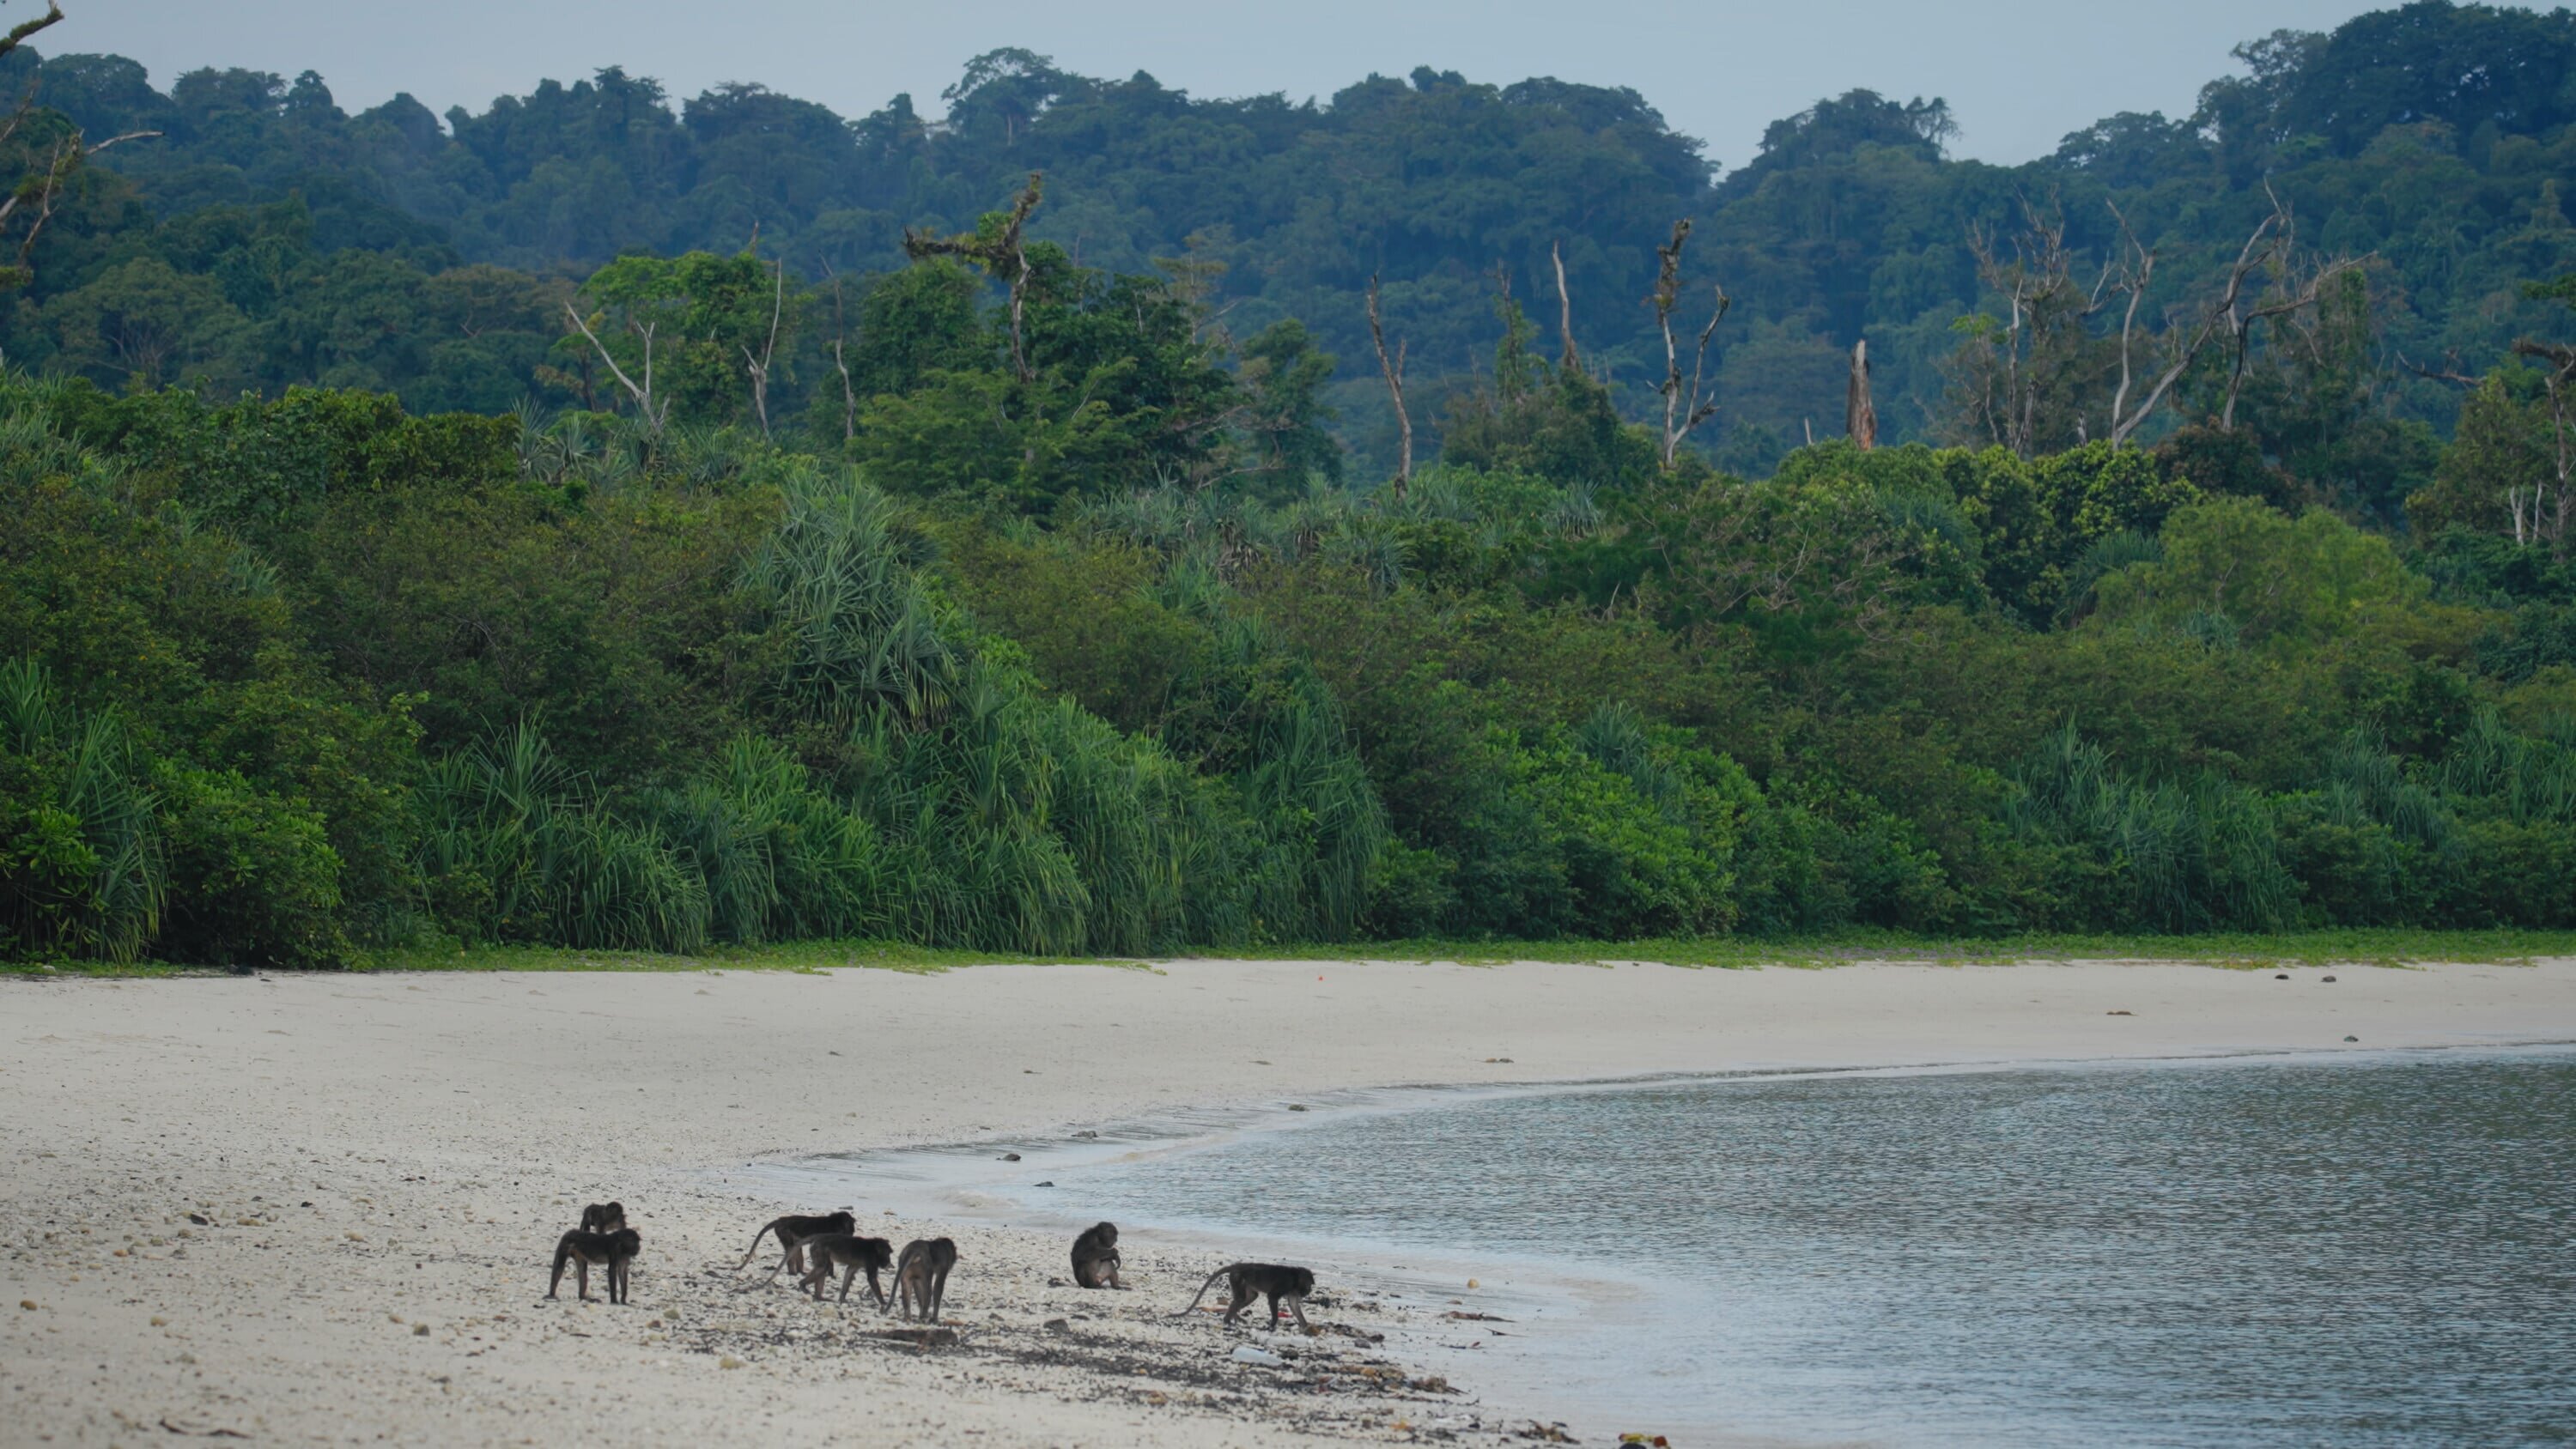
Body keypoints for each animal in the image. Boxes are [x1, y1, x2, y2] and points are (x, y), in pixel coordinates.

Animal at [1180, 1266, 1319, 1328]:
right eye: (1309, 1285)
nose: (1308, 1291)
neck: (1295, 1277)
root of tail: (1237, 1266)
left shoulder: (1293, 1289)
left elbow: (1294, 1305)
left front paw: (1306, 1326)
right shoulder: (1286, 1283)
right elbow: (1272, 1297)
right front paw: (1273, 1323)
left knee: (1251, 1296)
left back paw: (1234, 1317)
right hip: (1237, 1278)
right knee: (1241, 1298)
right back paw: (1227, 1320)